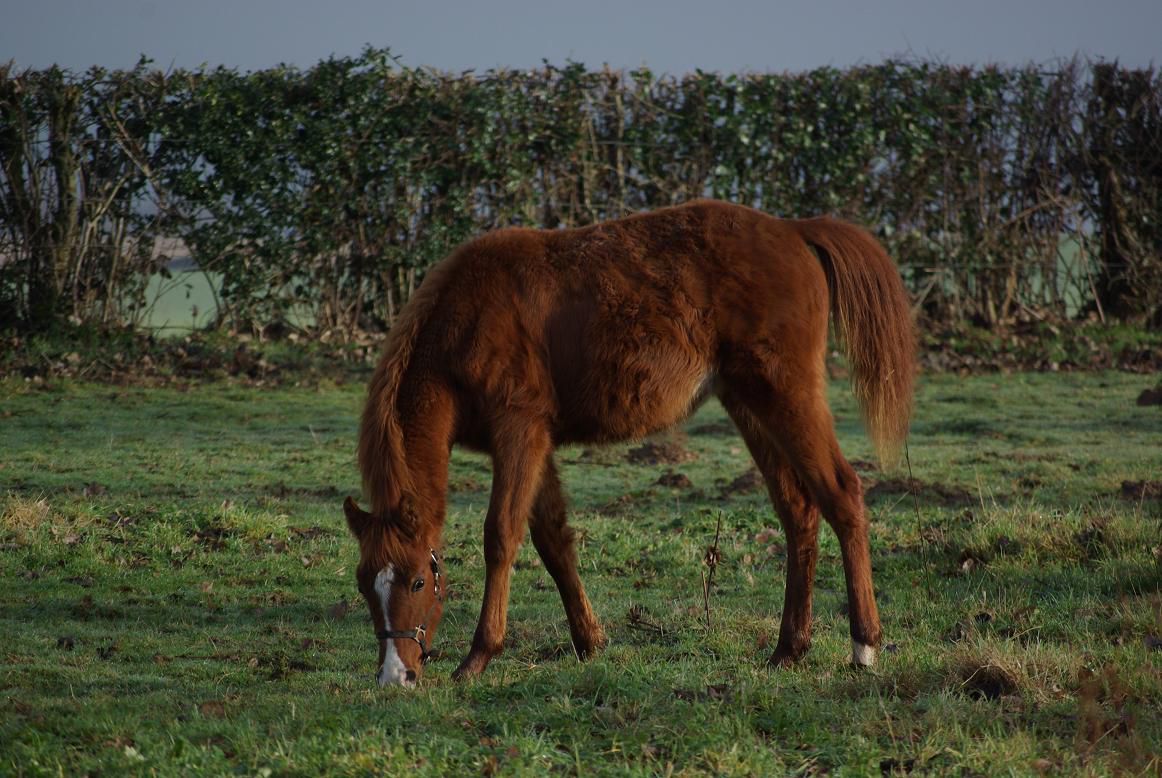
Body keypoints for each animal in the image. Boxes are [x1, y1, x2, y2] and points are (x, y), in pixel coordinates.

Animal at [343, 199, 915, 686]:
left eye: (418, 582)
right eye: (364, 582)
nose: (395, 675)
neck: (466, 319)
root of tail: (794, 230)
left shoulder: (518, 432)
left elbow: (501, 536)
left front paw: (479, 656)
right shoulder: (537, 443)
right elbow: (553, 541)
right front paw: (589, 641)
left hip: (787, 396)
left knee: (842, 494)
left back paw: (864, 645)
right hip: (750, 405)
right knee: (799, 512)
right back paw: (788, 649)